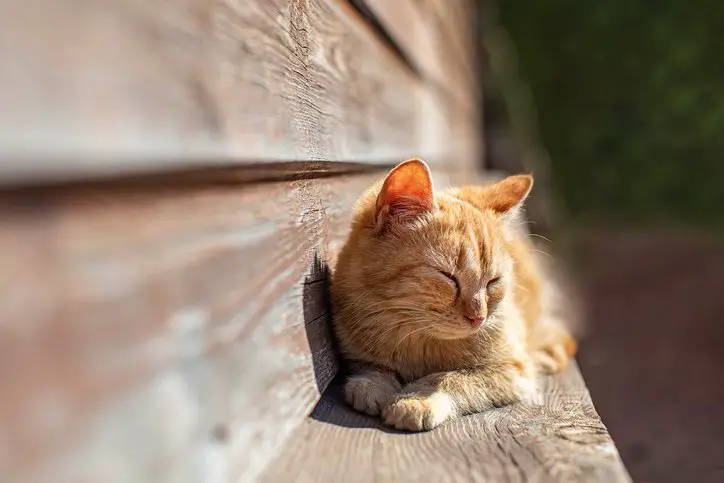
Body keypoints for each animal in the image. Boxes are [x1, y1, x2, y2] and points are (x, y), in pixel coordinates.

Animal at [330, 159, 576, 432]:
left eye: (492, 282)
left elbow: (452, 379)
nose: (479, 318)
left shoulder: (513, 370)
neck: (420, 344)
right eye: (448, 277)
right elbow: (372, 366)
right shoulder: (355, 348)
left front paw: (418, 399)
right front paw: (373, 384)